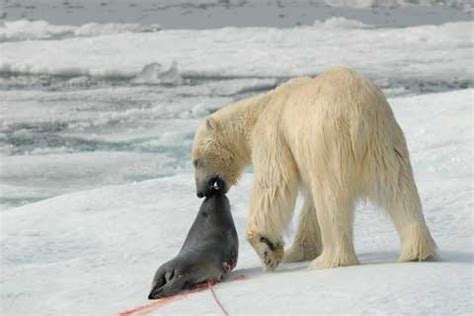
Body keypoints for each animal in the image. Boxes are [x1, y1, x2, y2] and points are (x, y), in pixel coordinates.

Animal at [191, 65, 438, 270]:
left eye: (196, 161)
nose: (200, 192)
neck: (260, 109)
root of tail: (358, 117)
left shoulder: (274, 134)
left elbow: (274, 182)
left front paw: (268, 248)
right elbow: (309, 202)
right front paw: (296, 251)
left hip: (328, 140)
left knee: (330, 200)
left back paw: (330, 260)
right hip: (385, 142)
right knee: (399, 188)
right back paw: (417, 251)